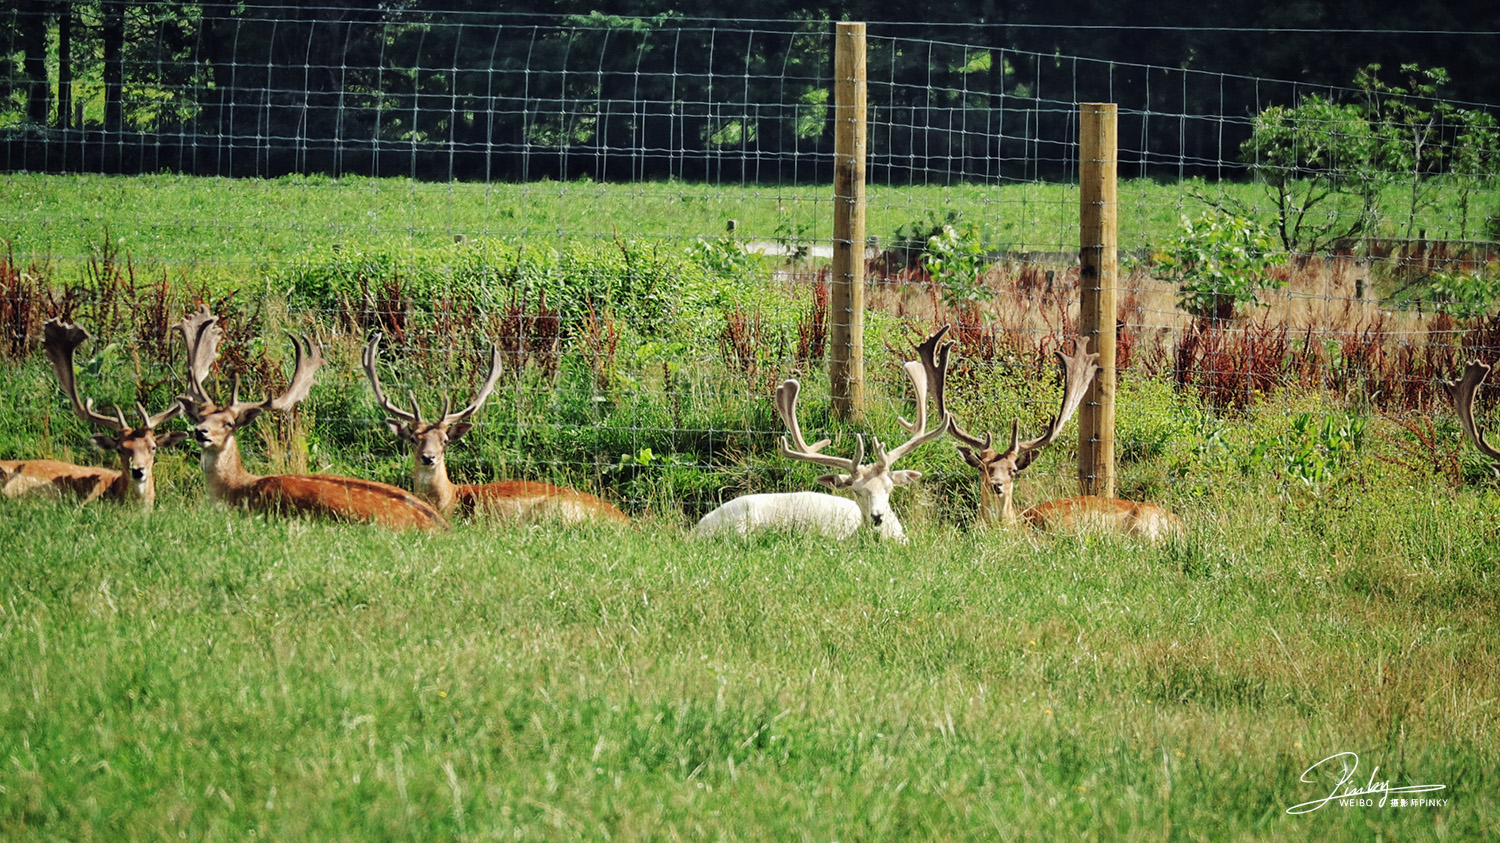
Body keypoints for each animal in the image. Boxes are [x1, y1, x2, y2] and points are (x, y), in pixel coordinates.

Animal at [358, 331, 627, 522]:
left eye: (445, 441)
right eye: (414, 438)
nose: (428, 457)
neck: (449, 500)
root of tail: (626, 522)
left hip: (556, 510)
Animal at [936, 333, 1182, 537]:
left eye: (1013, 470)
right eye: (982, 468)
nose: (996, 484)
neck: (1022, 524)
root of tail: (1181, 525)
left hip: (1143, 527)